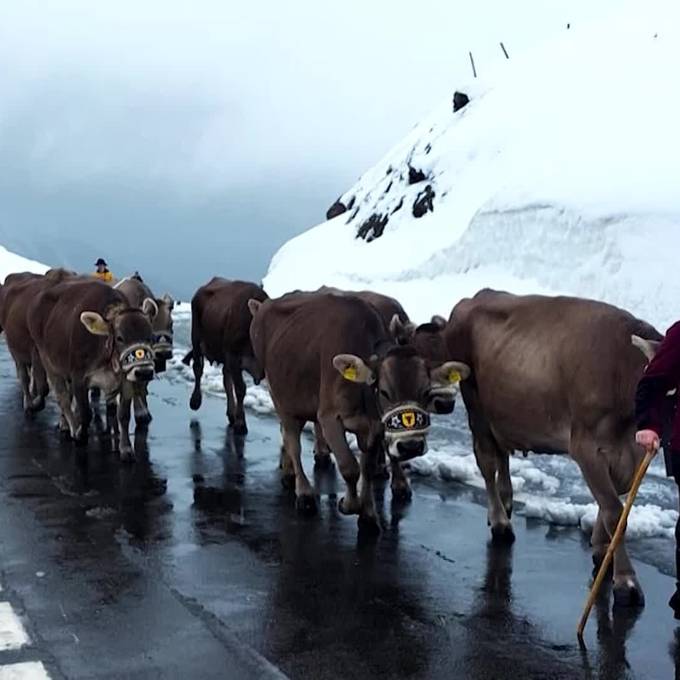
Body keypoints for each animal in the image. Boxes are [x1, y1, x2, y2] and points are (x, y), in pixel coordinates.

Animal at [27, 278, 158, 462]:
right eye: (120, 338)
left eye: (151, 336)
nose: (144, 371)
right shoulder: (78, 377)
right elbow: (85, 412)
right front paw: (80, 435)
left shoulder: (126, 380)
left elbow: (123, 416)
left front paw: (126, 449)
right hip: (47, 359)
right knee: (63, 398)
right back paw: (71, 426)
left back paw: (64, 423)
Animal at [183, 274, 268, 430]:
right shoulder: (233, 356)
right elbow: (240, 388)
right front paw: (241, 423)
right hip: (196, 337)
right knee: (198, 368)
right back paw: (195, 400)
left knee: (225, 378)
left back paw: (231, 413)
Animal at [248, 290, 468, 528]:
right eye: (384, 392)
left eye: (425, 390)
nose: (411, 446)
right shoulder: (329, 417)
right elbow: (350, 467)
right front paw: (348, 504)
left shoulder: (375, 426)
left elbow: (367, 468)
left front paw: (369, 515)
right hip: (280, 397)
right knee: (292, 442)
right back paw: (303, 492)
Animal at [418, 290, 660, 608]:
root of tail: (477, 296)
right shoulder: (586, 447)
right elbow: (613, 511)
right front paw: (626, 583)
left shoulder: (632, 455)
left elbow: (615, 505)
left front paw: (599, 550)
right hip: (476, 403)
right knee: (487, 461)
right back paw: (500, 523)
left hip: (502, 411)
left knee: (502, 454)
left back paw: (507, 502)